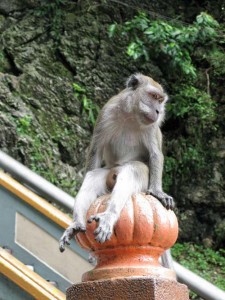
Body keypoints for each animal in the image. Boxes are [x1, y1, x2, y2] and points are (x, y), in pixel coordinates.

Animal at [59, 73, 173, 253]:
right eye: (154, 97)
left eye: (161, 100)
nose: (158, 111)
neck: (132, 116)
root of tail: (115, 171)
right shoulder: (107, 111)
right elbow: (96, 150)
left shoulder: (152, 127)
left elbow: (155, 155)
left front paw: (157, 192)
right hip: (108, 173)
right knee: (93, 176)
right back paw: (77, 223)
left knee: (134, 169)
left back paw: (109, 216)